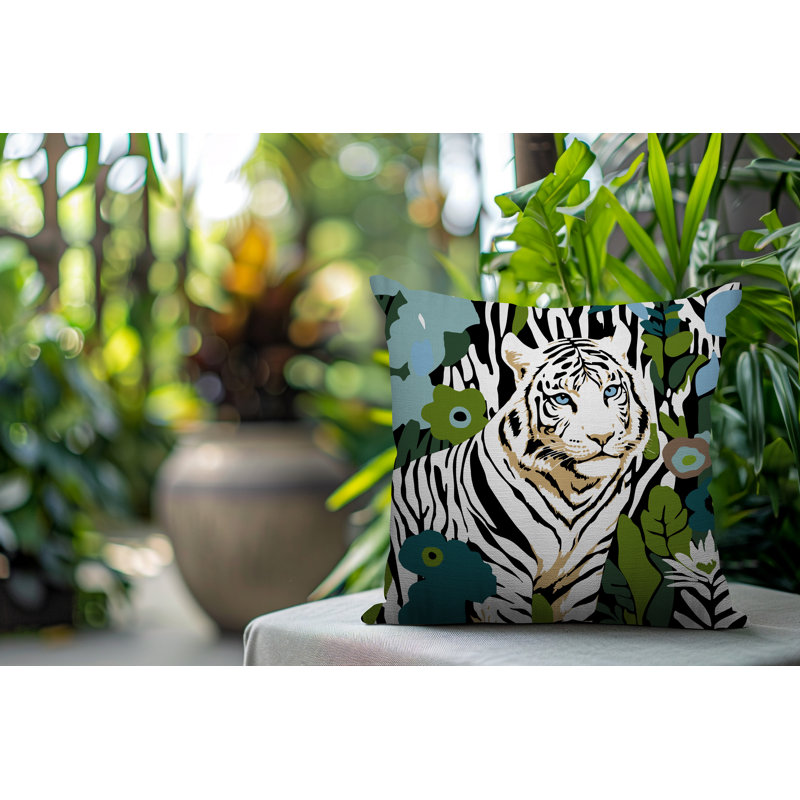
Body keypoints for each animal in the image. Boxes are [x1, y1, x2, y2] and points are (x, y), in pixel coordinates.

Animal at [386, 331, 653, 624]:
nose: (602, 437)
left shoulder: (584, 573)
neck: (576, 490)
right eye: (562, 399)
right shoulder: (503, 575)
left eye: (611, 391)